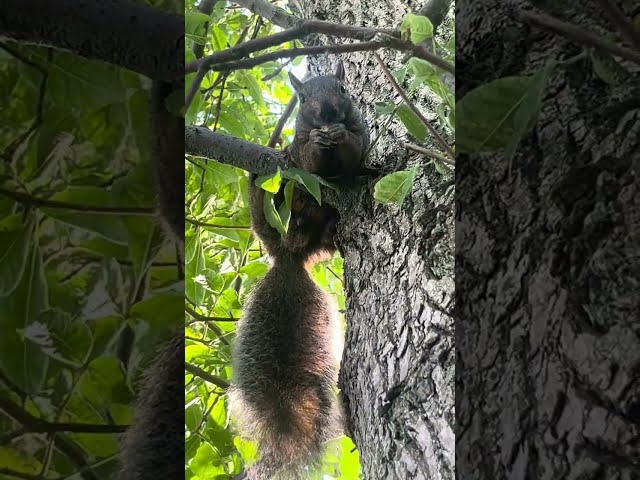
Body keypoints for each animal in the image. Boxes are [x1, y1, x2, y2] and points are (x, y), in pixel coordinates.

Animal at [230, 63, 370, 480]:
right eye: (303, 98)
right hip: (268, 202)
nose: (326, 114)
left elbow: (356, 150)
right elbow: (307, 157)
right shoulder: (302, 151)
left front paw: (339, 135)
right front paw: (320, 139)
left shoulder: (360, 137)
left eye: (343, 88)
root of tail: (289, 254)